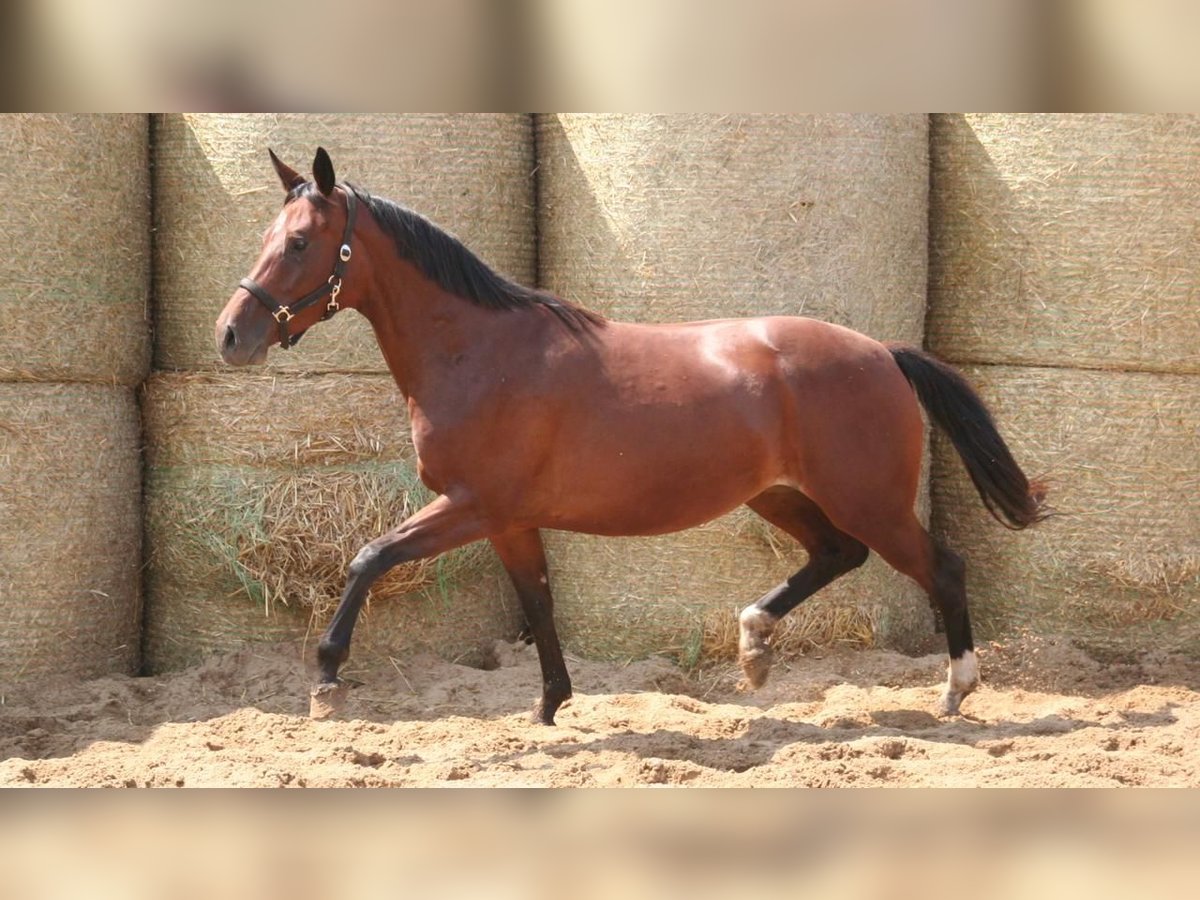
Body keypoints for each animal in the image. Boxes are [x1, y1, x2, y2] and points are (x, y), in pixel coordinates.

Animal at [216, 148, 1051, 724]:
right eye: (269, 235)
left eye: (299, 243)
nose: (230, 336)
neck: (481, 352)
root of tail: (883, 352)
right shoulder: (509, 520)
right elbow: (540, 605)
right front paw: (550, 706)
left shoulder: (470, 506)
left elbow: (369, 558)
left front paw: (326, 681)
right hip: (779, 495)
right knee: (836, 555)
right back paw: (754, 645)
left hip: (866, 498)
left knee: (941, 567)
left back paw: (955, 689)